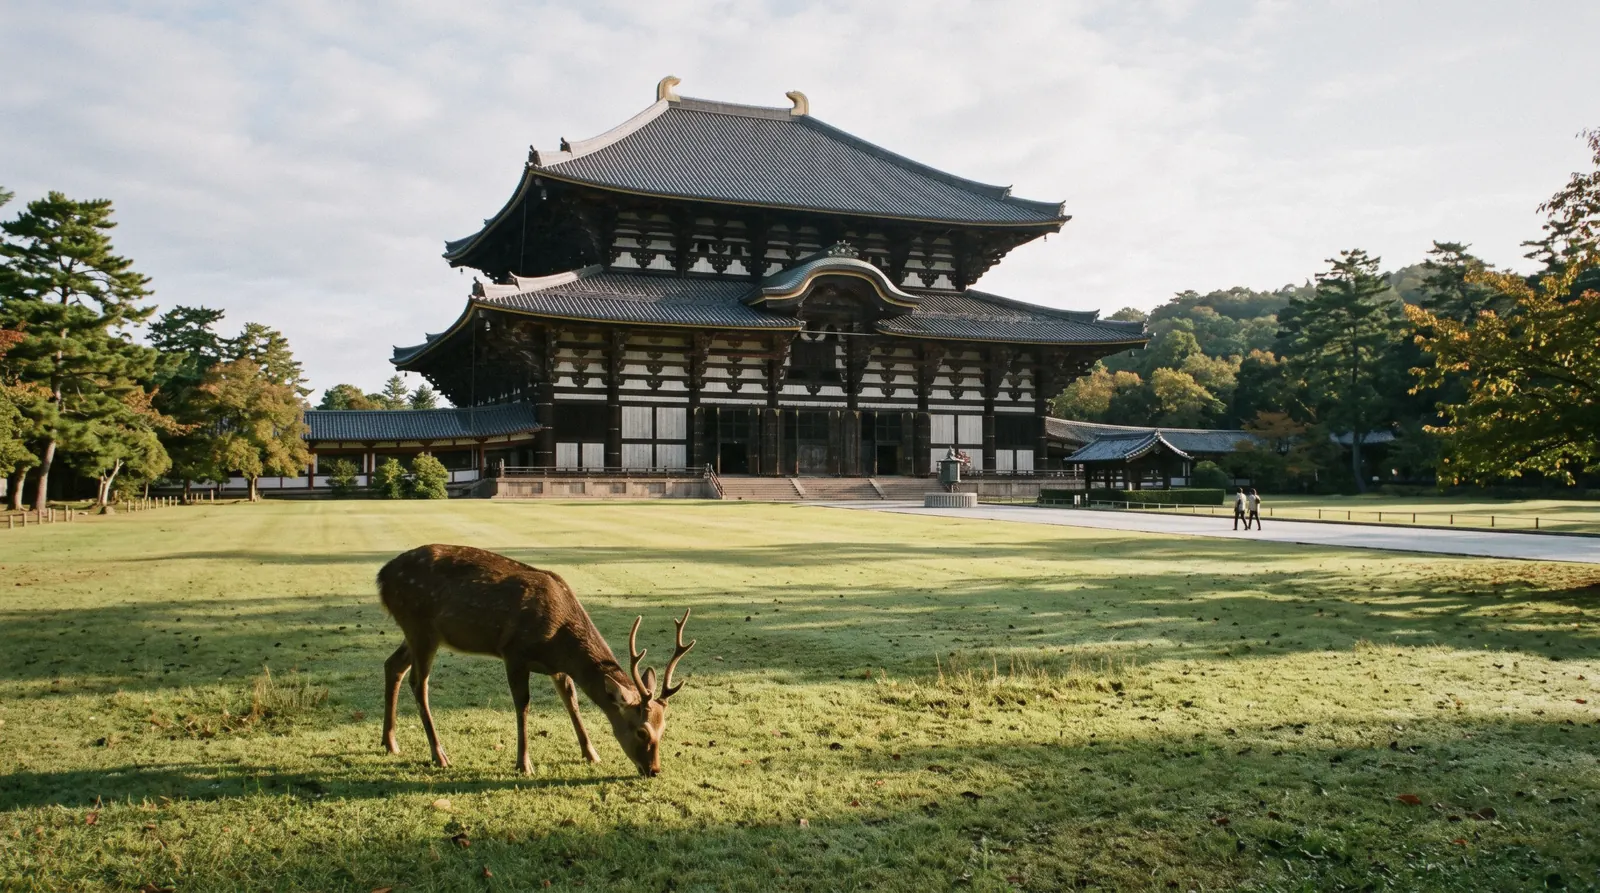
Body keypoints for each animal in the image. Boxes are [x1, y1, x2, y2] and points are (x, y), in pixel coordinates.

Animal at [376, 544, 694, 778]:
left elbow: (571, 702)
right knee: (419, 684)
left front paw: (591, 754)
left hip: (420, 632)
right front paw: (524, 764)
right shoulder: (514, 652)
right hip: (419, 626)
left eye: (664, 729)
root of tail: (381, 576)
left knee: (392, 665)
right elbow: (523, 705)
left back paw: (390, 743)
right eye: (642, 732)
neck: (559, 639)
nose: (654, 770)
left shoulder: (558, 667)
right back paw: (439, 755)